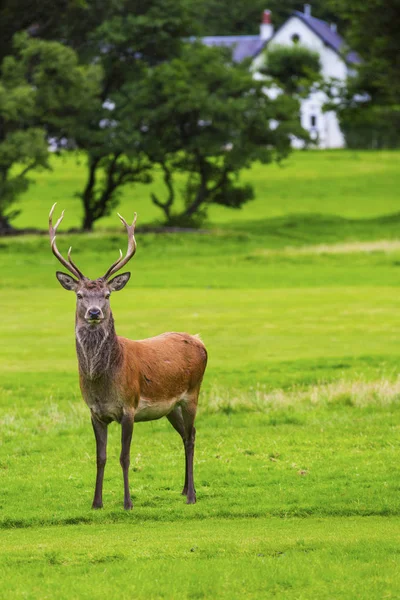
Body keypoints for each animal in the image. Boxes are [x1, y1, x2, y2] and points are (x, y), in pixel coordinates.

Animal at [48, 204, 208, 508]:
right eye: (79, 295)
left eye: (108, 295)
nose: (94, 312)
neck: (103, 382)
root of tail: (199, 339)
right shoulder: (95, 412)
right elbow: (100, 457)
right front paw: (96, 503)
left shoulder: (129, 407)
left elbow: (124, 457)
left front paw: (127, 503)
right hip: (170, 407)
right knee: (184, 434)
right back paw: (183, 489)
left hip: (192, 393)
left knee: (192, 436)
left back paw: (192, 495)